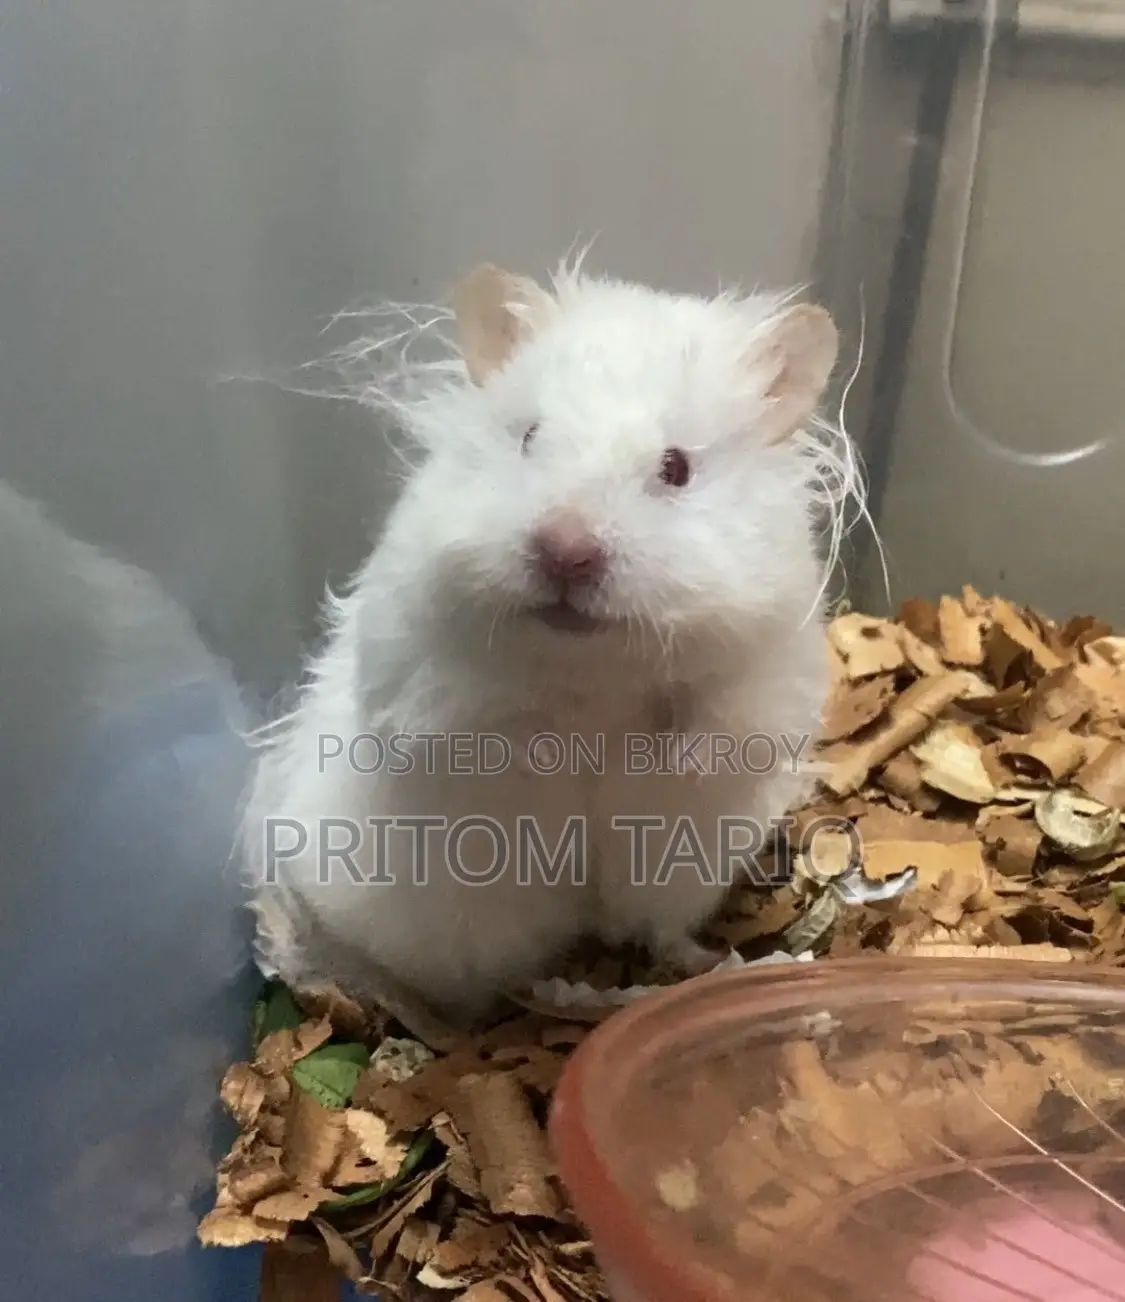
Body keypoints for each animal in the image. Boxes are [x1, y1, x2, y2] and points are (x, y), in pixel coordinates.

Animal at [244, 258, 850, 1032]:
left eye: (676, 468)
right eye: (530, 438)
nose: (564, 552)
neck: (591, 664)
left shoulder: (752, 697)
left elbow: (692, 739)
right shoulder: (425, 688)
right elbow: (509, 738)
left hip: (681, 878)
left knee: (658, 931)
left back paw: (705, 965)